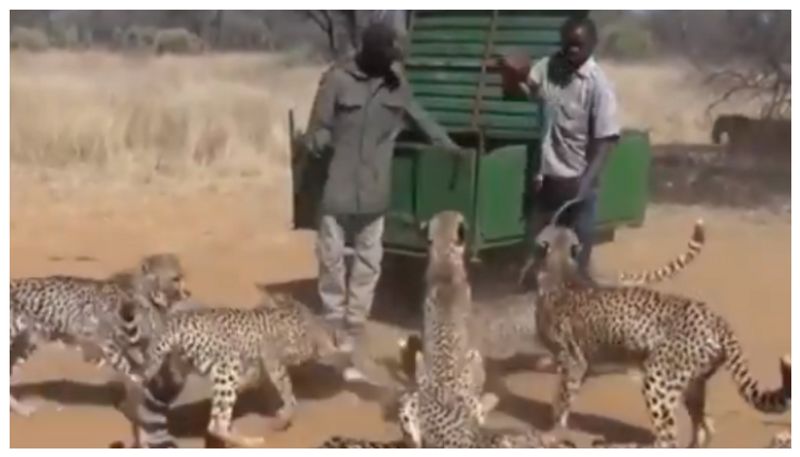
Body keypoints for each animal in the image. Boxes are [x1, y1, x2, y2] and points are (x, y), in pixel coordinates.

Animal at [9, 253, 191, 416]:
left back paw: (20, 409)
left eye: (182, 277)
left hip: (25, 343)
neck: (145, 293)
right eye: (176, 278)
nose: (188, 293)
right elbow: (133, 372)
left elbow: (145, 369)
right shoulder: (110, 344)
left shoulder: (140, 345)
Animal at [137, 292, 346, 446]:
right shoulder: (271, 357)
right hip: (228, 366)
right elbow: (287, 391)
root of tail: (171, 323)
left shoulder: (260, 364)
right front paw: (283, 417)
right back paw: (248, 442)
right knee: (216, 425)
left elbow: (257, 381)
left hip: (178, 373)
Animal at [532, 223, 788, 448]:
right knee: (705, 426)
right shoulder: (583, 364)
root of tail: (716, 318)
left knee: (669, 438)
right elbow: (564, 399)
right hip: (692, 383)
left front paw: (552, 434)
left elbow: (561, 399)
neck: (560, 266)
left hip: (659, 382)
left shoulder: (572, 361)